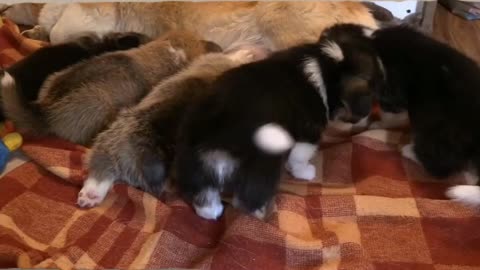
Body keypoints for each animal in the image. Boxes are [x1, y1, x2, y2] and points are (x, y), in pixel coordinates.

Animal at [174, 23, 384, 219]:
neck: (325, 61)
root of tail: (216, 138)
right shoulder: (309, 133)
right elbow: (300, 157)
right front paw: (305, 172)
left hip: (193, 165)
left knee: (204, 199)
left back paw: (214, 211)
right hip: (263, 164)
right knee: (246, 199)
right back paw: (261, 213)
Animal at [372, 24, 480, 207]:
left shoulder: (393, 93)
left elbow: (390, 110)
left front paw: (377, 123)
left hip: (436, 132)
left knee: (439, 166)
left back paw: (409, 151)